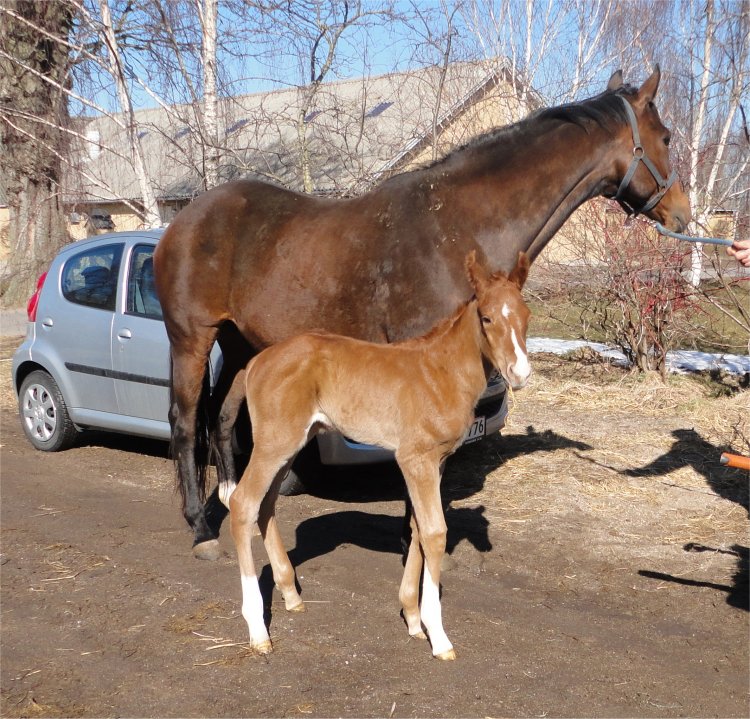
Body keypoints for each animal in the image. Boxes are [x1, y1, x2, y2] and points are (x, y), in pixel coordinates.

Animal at [229, 252, 536, 660]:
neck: (441, 371)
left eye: (526, 314)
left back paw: (291, 594)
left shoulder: (436, 462)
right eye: (486, 317)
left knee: (266, 505)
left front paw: (412, 618)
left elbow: (417, 529)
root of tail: (255, 363)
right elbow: (435, 532)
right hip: (274, 444)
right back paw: (258, 630)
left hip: (292, 444)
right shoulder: (415, 459)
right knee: (242, 503)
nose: (519, 374)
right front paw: (438, 634)